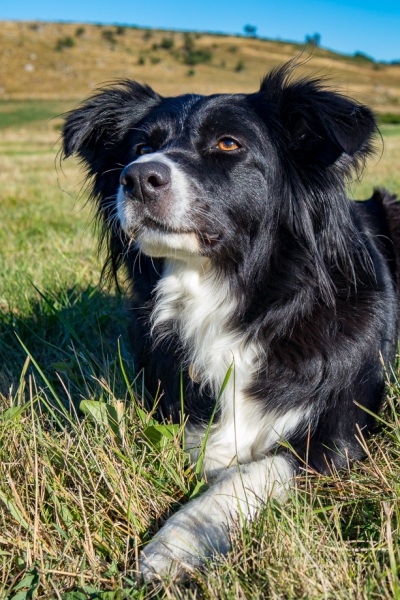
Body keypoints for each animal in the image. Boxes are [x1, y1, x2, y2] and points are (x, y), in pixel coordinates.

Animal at [61, 62, 400, 580]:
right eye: (139, 148)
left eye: (227, 144)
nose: (137, 178)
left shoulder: (342, 436)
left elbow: (249, 472)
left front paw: (174, 544)